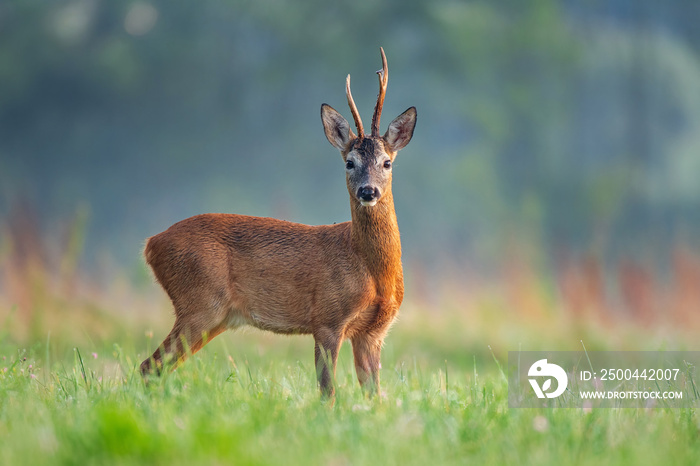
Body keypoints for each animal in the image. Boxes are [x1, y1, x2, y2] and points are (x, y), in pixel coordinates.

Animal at [142, 46, 416, 396]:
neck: (371, 269)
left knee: (156, 367)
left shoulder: (373, 331)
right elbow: (327, 391)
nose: (368, 191)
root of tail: (152, 243)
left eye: (386, 162)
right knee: (149, 366)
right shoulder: (327, 318)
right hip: (200, 302)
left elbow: (375, 395)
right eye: (349, 163)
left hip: (214, 317)